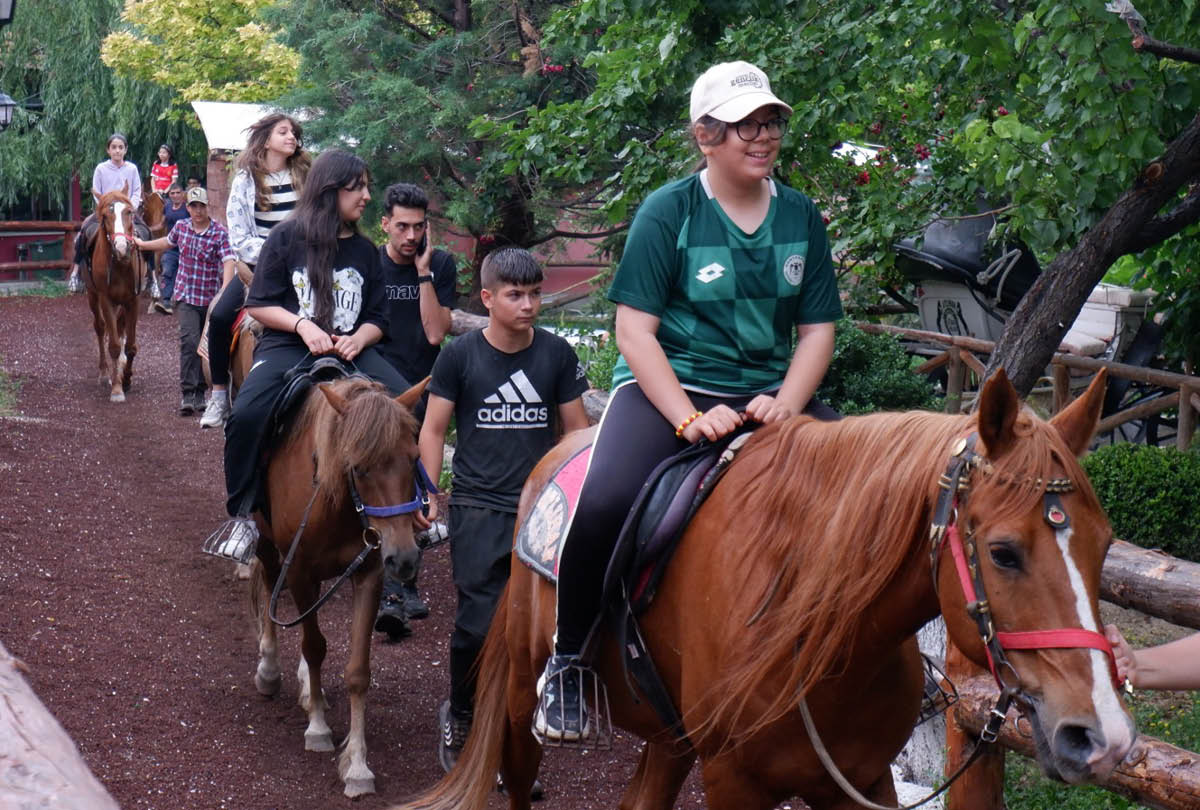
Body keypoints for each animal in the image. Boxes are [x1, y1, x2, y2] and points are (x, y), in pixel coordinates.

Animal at [84, 187, 144, 403]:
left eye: (129, 212)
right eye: (105, 216)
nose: (121, 247)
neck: (120, 264)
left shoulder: (133, 300)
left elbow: (130, 346)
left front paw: (126, 379)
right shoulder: (106, 299)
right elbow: (115, 346)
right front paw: (117, 389)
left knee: (118, 327)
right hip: (93, 296)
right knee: (101, 328)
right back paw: (104, 373)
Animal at [246, 374, 429, 796]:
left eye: (414, 458)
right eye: (359, 467)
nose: (405, 557)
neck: (338, 503)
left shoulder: (370, 571)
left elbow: (357, 671)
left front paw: (357, 765)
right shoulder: (299, 570)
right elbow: (314, 646)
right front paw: (317, 728)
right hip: (270, 544)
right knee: (269, 582)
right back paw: (270, 668)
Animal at [396, 372, 1132, 810]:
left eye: (1104, 546)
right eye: (1004, 553)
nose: (1102, 737)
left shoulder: (860, 780)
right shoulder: (734, 783)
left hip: (671, 735)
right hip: (525, 696)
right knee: (520, 773)